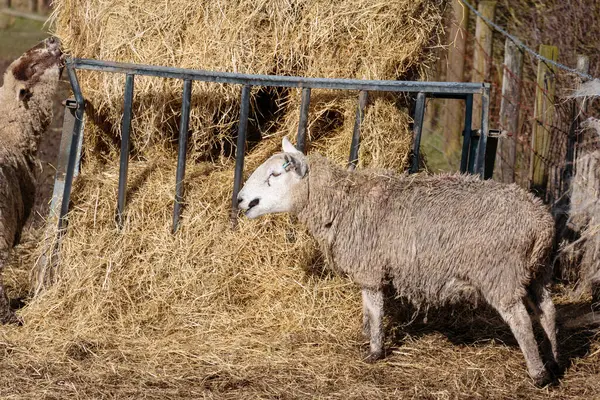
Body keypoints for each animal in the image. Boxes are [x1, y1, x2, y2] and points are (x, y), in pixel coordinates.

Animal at [237, 138, 560, 388]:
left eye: (275, 174)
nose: (240, 200)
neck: (341, 201)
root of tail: (541, 222)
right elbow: (368, 312)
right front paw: (367, 338)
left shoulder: (369, 267)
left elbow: (374, 310)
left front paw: (374, 351)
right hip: (537, 272)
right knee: (547, 311)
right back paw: (555, 361)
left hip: (501, 273)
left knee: (521, 320)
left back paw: (538, 374)